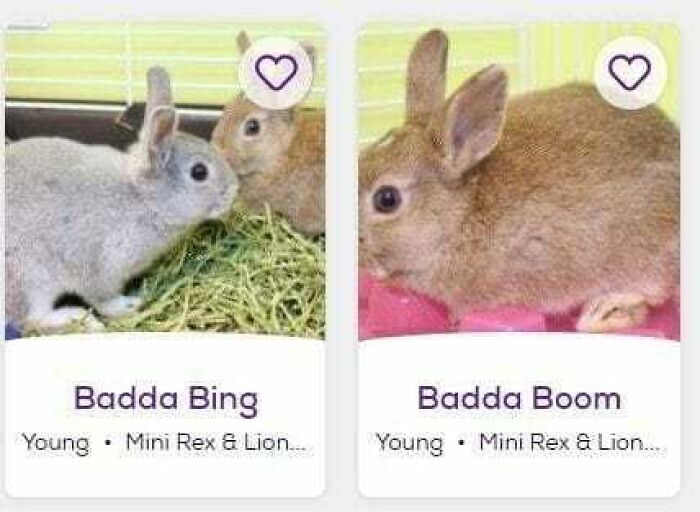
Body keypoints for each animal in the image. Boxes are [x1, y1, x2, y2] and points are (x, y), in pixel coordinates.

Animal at [5, 66, 239, 333]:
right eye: (199, 172)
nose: (234, 190)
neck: (143, 199)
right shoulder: (101, 267)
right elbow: (103, 300)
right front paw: (128, 305)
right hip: (29, 280)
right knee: (29, 320)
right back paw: (79, 320)